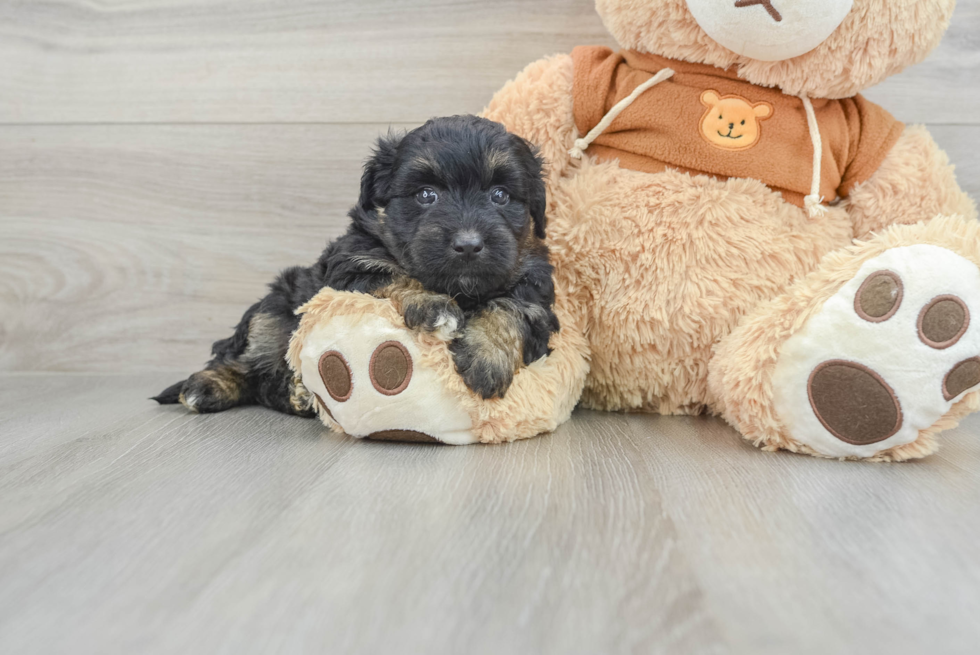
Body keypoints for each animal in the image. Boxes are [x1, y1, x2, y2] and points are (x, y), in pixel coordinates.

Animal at [158, 116, 564, 418]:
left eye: (500, 195)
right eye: (426, 195)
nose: (468, 244)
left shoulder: (534, 287)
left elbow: (512, 307)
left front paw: (487, 356)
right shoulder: (351, 268)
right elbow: (394, 274)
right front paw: (432, 306)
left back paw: (297, 395)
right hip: (271, 311)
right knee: (243, 358)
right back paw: (208, 387)